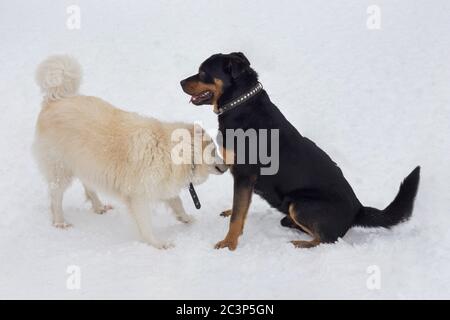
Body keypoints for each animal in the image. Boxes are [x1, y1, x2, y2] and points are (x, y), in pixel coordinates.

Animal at [34, 55, 229, 249]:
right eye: (214, 151)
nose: (228, 165)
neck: (173, 151)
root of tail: (55, 99)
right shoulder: (138, 196)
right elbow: (146, 224)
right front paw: (158, 244)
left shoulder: (162, 185)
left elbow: (177, 202)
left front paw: (186, 218)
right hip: (61, 169)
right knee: (55, 197)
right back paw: (60, 222)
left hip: (86, 163)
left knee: (88, 187)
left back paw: (99, 207)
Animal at [180, 52, 422, 250]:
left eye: (203, 72)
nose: (180, 82)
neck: (240, 104)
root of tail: (358, 210)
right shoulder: (241, 176)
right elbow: (240, 206)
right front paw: (231, 216)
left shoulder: (245, 174)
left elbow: (238, 214)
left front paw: (229, 243)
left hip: (300, 204)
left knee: (328, 239)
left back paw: (301, 243)